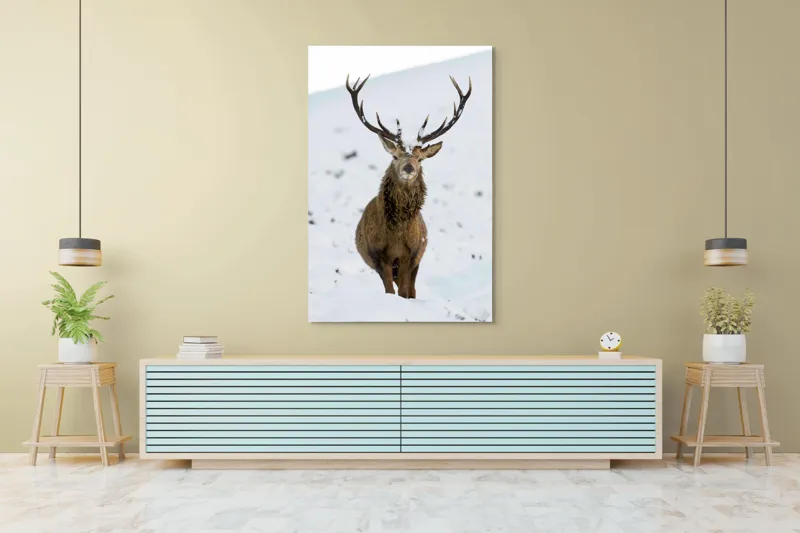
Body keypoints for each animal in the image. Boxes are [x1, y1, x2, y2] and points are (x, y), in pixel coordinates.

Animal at [346, 73, 472, 299]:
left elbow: (405, 291)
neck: (396, 235)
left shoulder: (410, 255)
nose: (408, 168)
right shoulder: (378, 256)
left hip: (417, 260)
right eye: (395, 156)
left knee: (412, 288)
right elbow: (389, 290)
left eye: (420, 159)